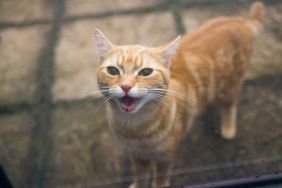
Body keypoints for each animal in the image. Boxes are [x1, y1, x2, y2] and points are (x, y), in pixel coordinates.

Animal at [94, 1, 264, 188]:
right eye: (112, 70)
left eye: (146, 72)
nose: (126, 86)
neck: (135, 129)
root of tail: (242, 21)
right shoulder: (137, 157)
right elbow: (140, 176)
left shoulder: (165, 156)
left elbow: (160, 178)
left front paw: (159, 184)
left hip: (229, 88)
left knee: (229, 107)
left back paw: (228, 129)